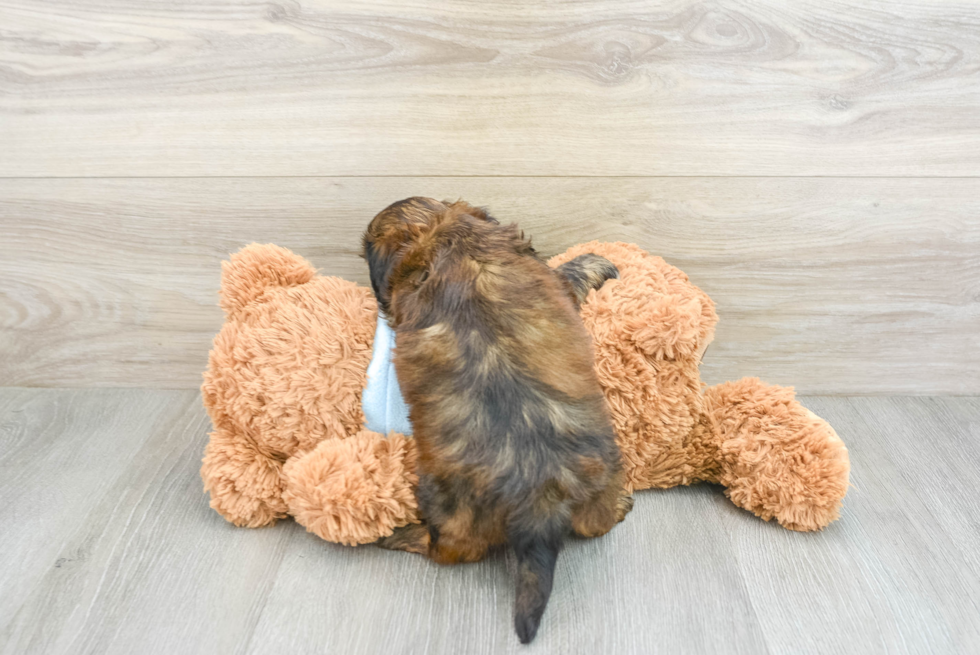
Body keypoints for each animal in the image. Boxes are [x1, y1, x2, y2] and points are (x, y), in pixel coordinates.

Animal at [364, 197, 632, 644]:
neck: (440, 238)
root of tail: (541, 497)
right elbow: (565, 274)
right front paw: (592, 264)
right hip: (601, 479)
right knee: (596, 524)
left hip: (448, 507)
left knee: (445, 551)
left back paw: (402, 534)